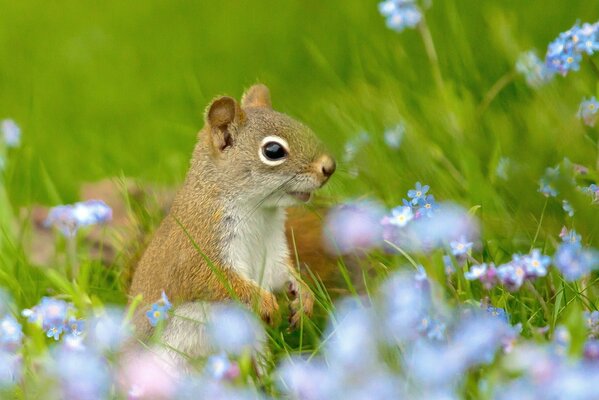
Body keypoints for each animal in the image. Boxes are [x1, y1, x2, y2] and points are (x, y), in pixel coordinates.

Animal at [129, 84, 338, 360]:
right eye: (273, 151)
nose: (329, 167)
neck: (259, 212)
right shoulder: (199, 246)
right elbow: (216, 280)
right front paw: (266, 303)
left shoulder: (272, 251)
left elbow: (280, 272)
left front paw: (303, 297)